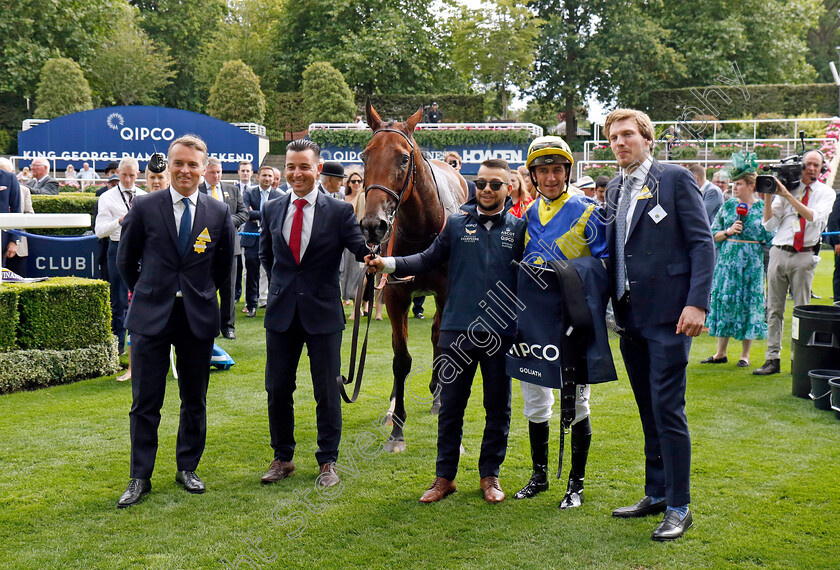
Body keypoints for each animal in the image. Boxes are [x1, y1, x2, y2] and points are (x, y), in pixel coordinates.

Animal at [360, 100, 470, 450]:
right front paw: (397, 427)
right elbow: (401, 358)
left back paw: (437, 395)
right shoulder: (396, 295)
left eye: (404, 158)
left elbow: (441, 343)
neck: (423, 231)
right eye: (365, 156)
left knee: (436, 336)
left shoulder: (447, 294)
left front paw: (440, 399)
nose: (373, 225)